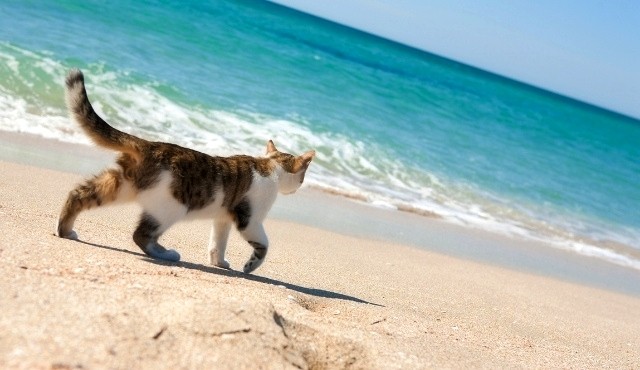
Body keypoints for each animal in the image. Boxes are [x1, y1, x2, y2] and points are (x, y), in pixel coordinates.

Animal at [55, 68, 316, 274]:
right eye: (302, 177)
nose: (299, 186)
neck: (271, 166)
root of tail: (149, 145)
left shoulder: (223, 217)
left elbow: (218, 243)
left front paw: (219, 263)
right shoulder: (250, 220)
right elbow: (263, 246)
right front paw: (250, 266)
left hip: (121, 186)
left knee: (78, 195)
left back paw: (65, 231)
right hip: (171, 207)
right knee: (141, 235)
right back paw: (166, 254)